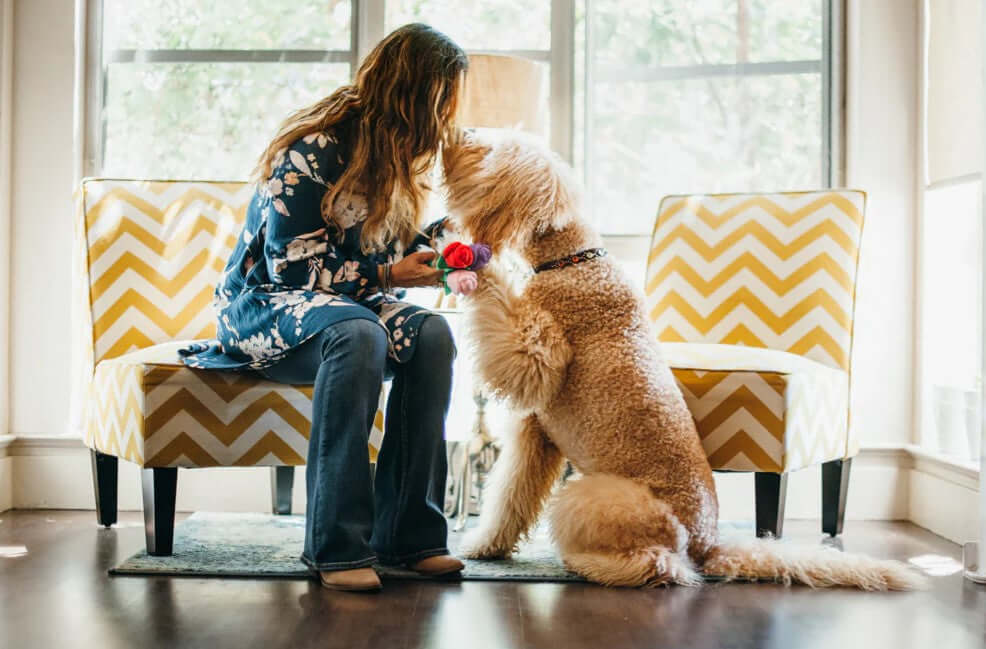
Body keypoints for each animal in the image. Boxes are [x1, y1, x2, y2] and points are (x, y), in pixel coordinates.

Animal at [442, 129, 928, 588]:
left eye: (491, 151)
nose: (458, 134)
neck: (572, 262)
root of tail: (708, 543)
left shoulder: (536, 358)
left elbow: (502, 306)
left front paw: (470, 257)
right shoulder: (535, 434)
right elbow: (509, 498)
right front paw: (487, 546)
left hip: (592, 496)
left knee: (662, 566)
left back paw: (590, 564)